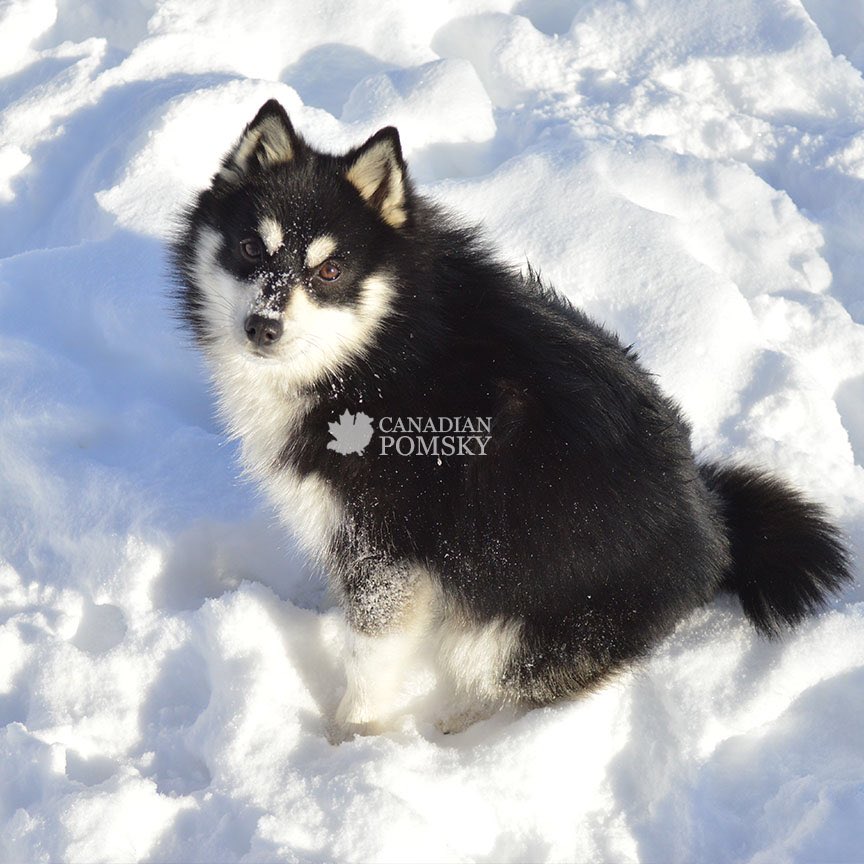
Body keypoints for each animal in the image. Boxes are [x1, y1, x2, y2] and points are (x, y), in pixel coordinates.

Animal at [172, 99, 852, 736]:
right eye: (250, 248)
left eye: (330, 270)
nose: (262, 326)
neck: (381, 354)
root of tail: (716, 528)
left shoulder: (390, 552)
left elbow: (371, 660)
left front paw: (348, 742)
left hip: (517, 624)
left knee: (513, 684)